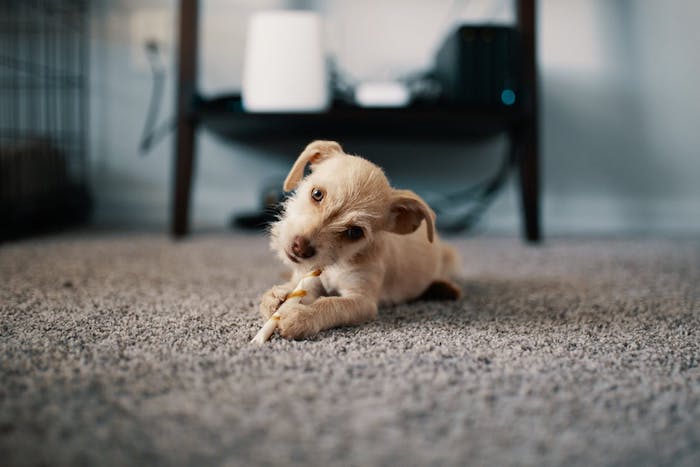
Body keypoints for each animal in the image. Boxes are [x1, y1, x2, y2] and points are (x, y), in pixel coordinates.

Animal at [260, 140, 462, 340]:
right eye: (317, 194)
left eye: (355, 232)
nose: (300, 248)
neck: (337, 264)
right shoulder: (309, 280)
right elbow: (296, 288)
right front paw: (277, 296)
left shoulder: (362, 301)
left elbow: (331, 304)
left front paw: (302, 316)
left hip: (450, 257)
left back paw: (443, 288)